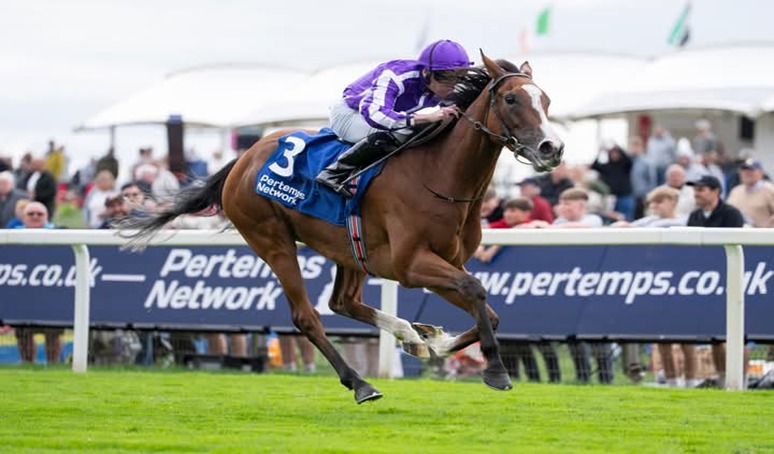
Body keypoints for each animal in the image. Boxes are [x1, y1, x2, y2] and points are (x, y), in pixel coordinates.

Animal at [122, 53, 564, 404]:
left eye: (545, 99)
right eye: (511, 98)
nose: (552, 149)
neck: (440, 175)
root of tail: (243, 159)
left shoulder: (443, 263)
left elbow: (489, 311)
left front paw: (432, 340)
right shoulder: (411, 265)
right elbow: (476, 292)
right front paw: (496, 371)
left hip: (349, 250)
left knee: (343, 302)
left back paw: (407, 335)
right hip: (272, 240)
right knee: (307, 316)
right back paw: (361, 383)